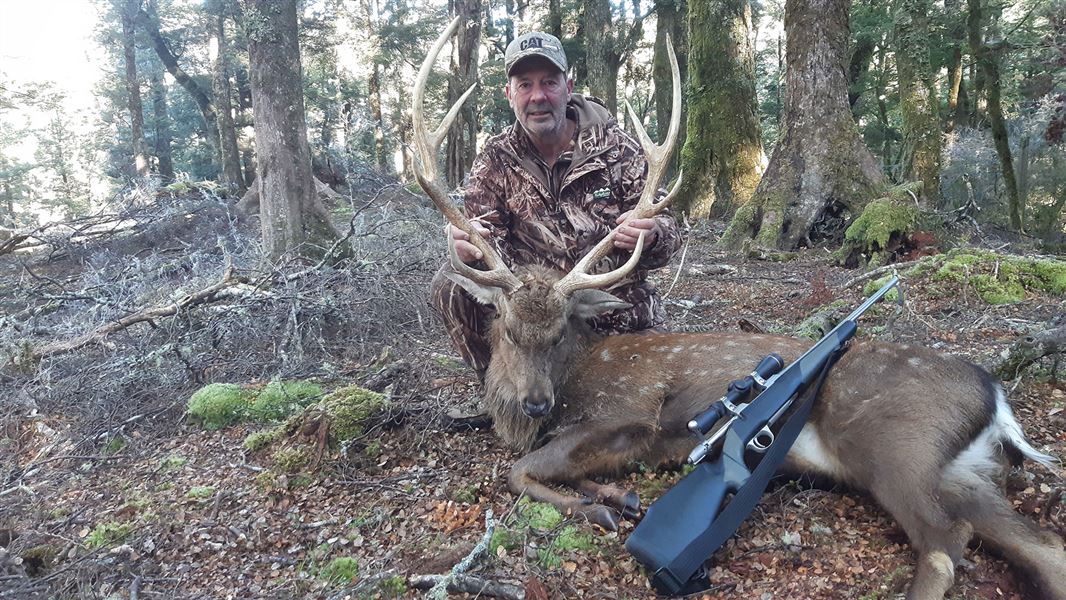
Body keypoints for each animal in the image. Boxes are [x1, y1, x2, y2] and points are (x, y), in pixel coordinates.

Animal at [413, 19, 1066, 600]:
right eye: (505, 326)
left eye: (558, 332)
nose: (534, 403)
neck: (568, 383)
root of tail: (996, 395)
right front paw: (611, 497)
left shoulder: (629, 415)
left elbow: (521, 471)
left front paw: (601, 505)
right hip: (963, 473)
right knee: (1042, 547)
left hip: (899, 443)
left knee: (943, 544)